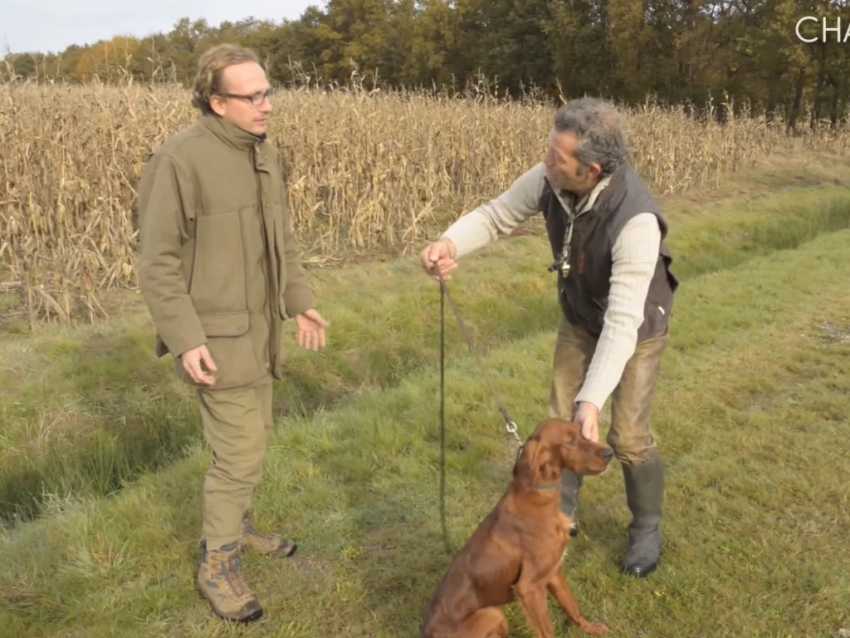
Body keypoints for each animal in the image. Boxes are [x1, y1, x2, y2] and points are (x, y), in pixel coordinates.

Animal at [422, 418, 613, 637]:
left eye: (582, 434)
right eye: (569, 442)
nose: (610, 453)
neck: (539, 496)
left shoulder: (554, 571)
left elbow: (571, 606)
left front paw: (591, 628)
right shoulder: (529, 587)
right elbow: (548, 631)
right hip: (492, 613)